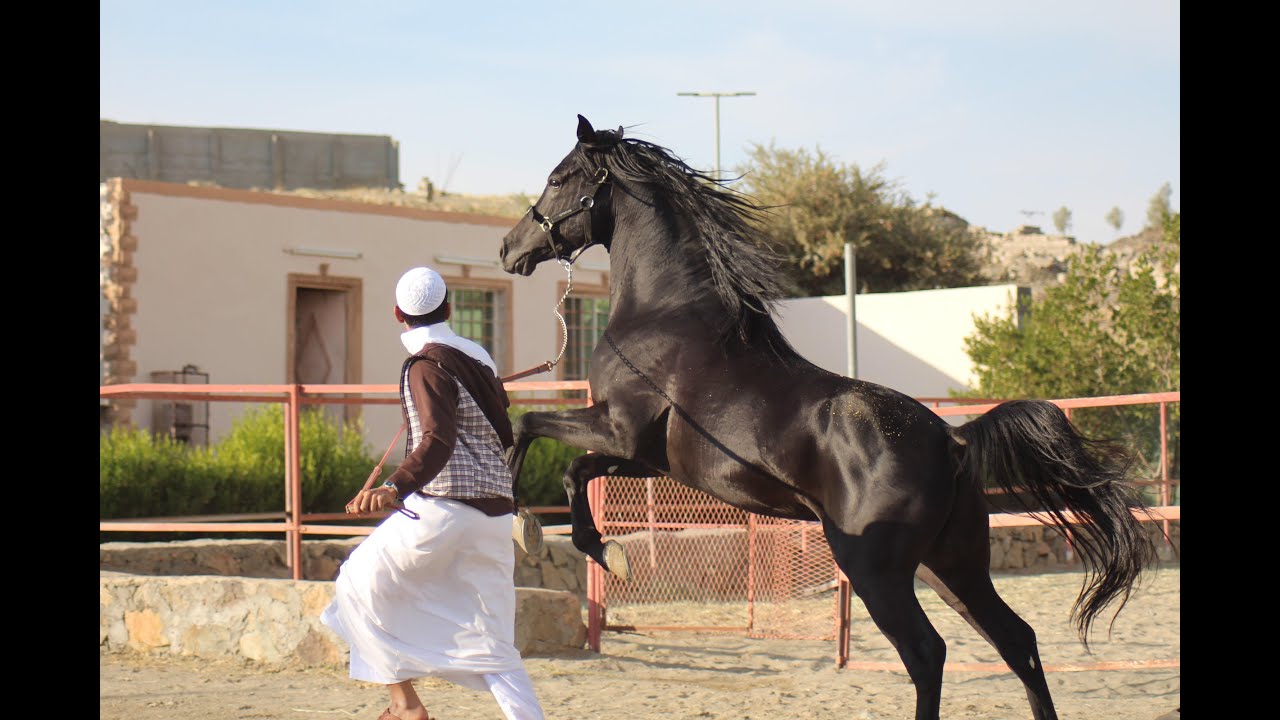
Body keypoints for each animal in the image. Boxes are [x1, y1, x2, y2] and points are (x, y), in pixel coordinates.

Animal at [499, 114, 1162, 712]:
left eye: (558, 178)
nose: (509, 249)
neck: (665, 316)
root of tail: (952, 440)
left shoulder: (617, 427)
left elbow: (528, 429)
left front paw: (526, 526)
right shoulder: (649, 457)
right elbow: (575, 470)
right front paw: (604, 549)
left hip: (877, 570)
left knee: (928, 653)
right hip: (952, 565)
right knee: (1015, 639)